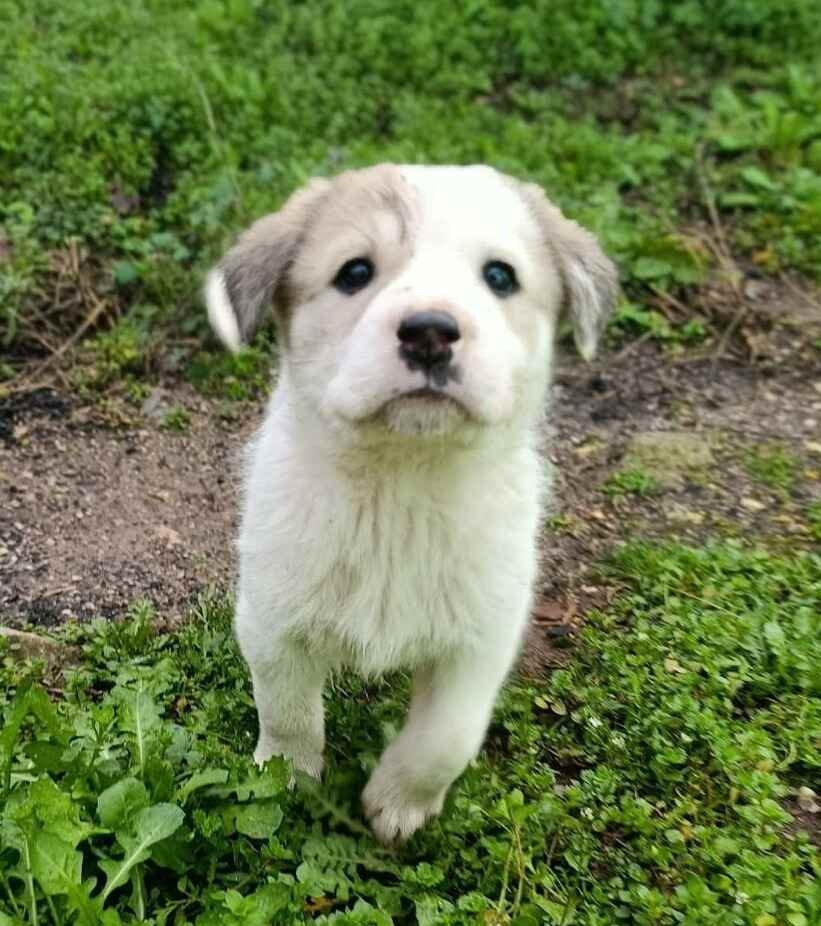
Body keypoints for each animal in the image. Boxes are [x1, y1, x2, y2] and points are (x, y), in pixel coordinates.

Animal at [205, 164, 617, 844]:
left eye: (499, 276)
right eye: (354, 272)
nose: (429, 331)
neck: (403, 486)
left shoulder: (482, 643)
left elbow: (446, 740)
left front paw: (397, 804)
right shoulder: (272, 623)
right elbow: (289, 715)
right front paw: (288, 780)